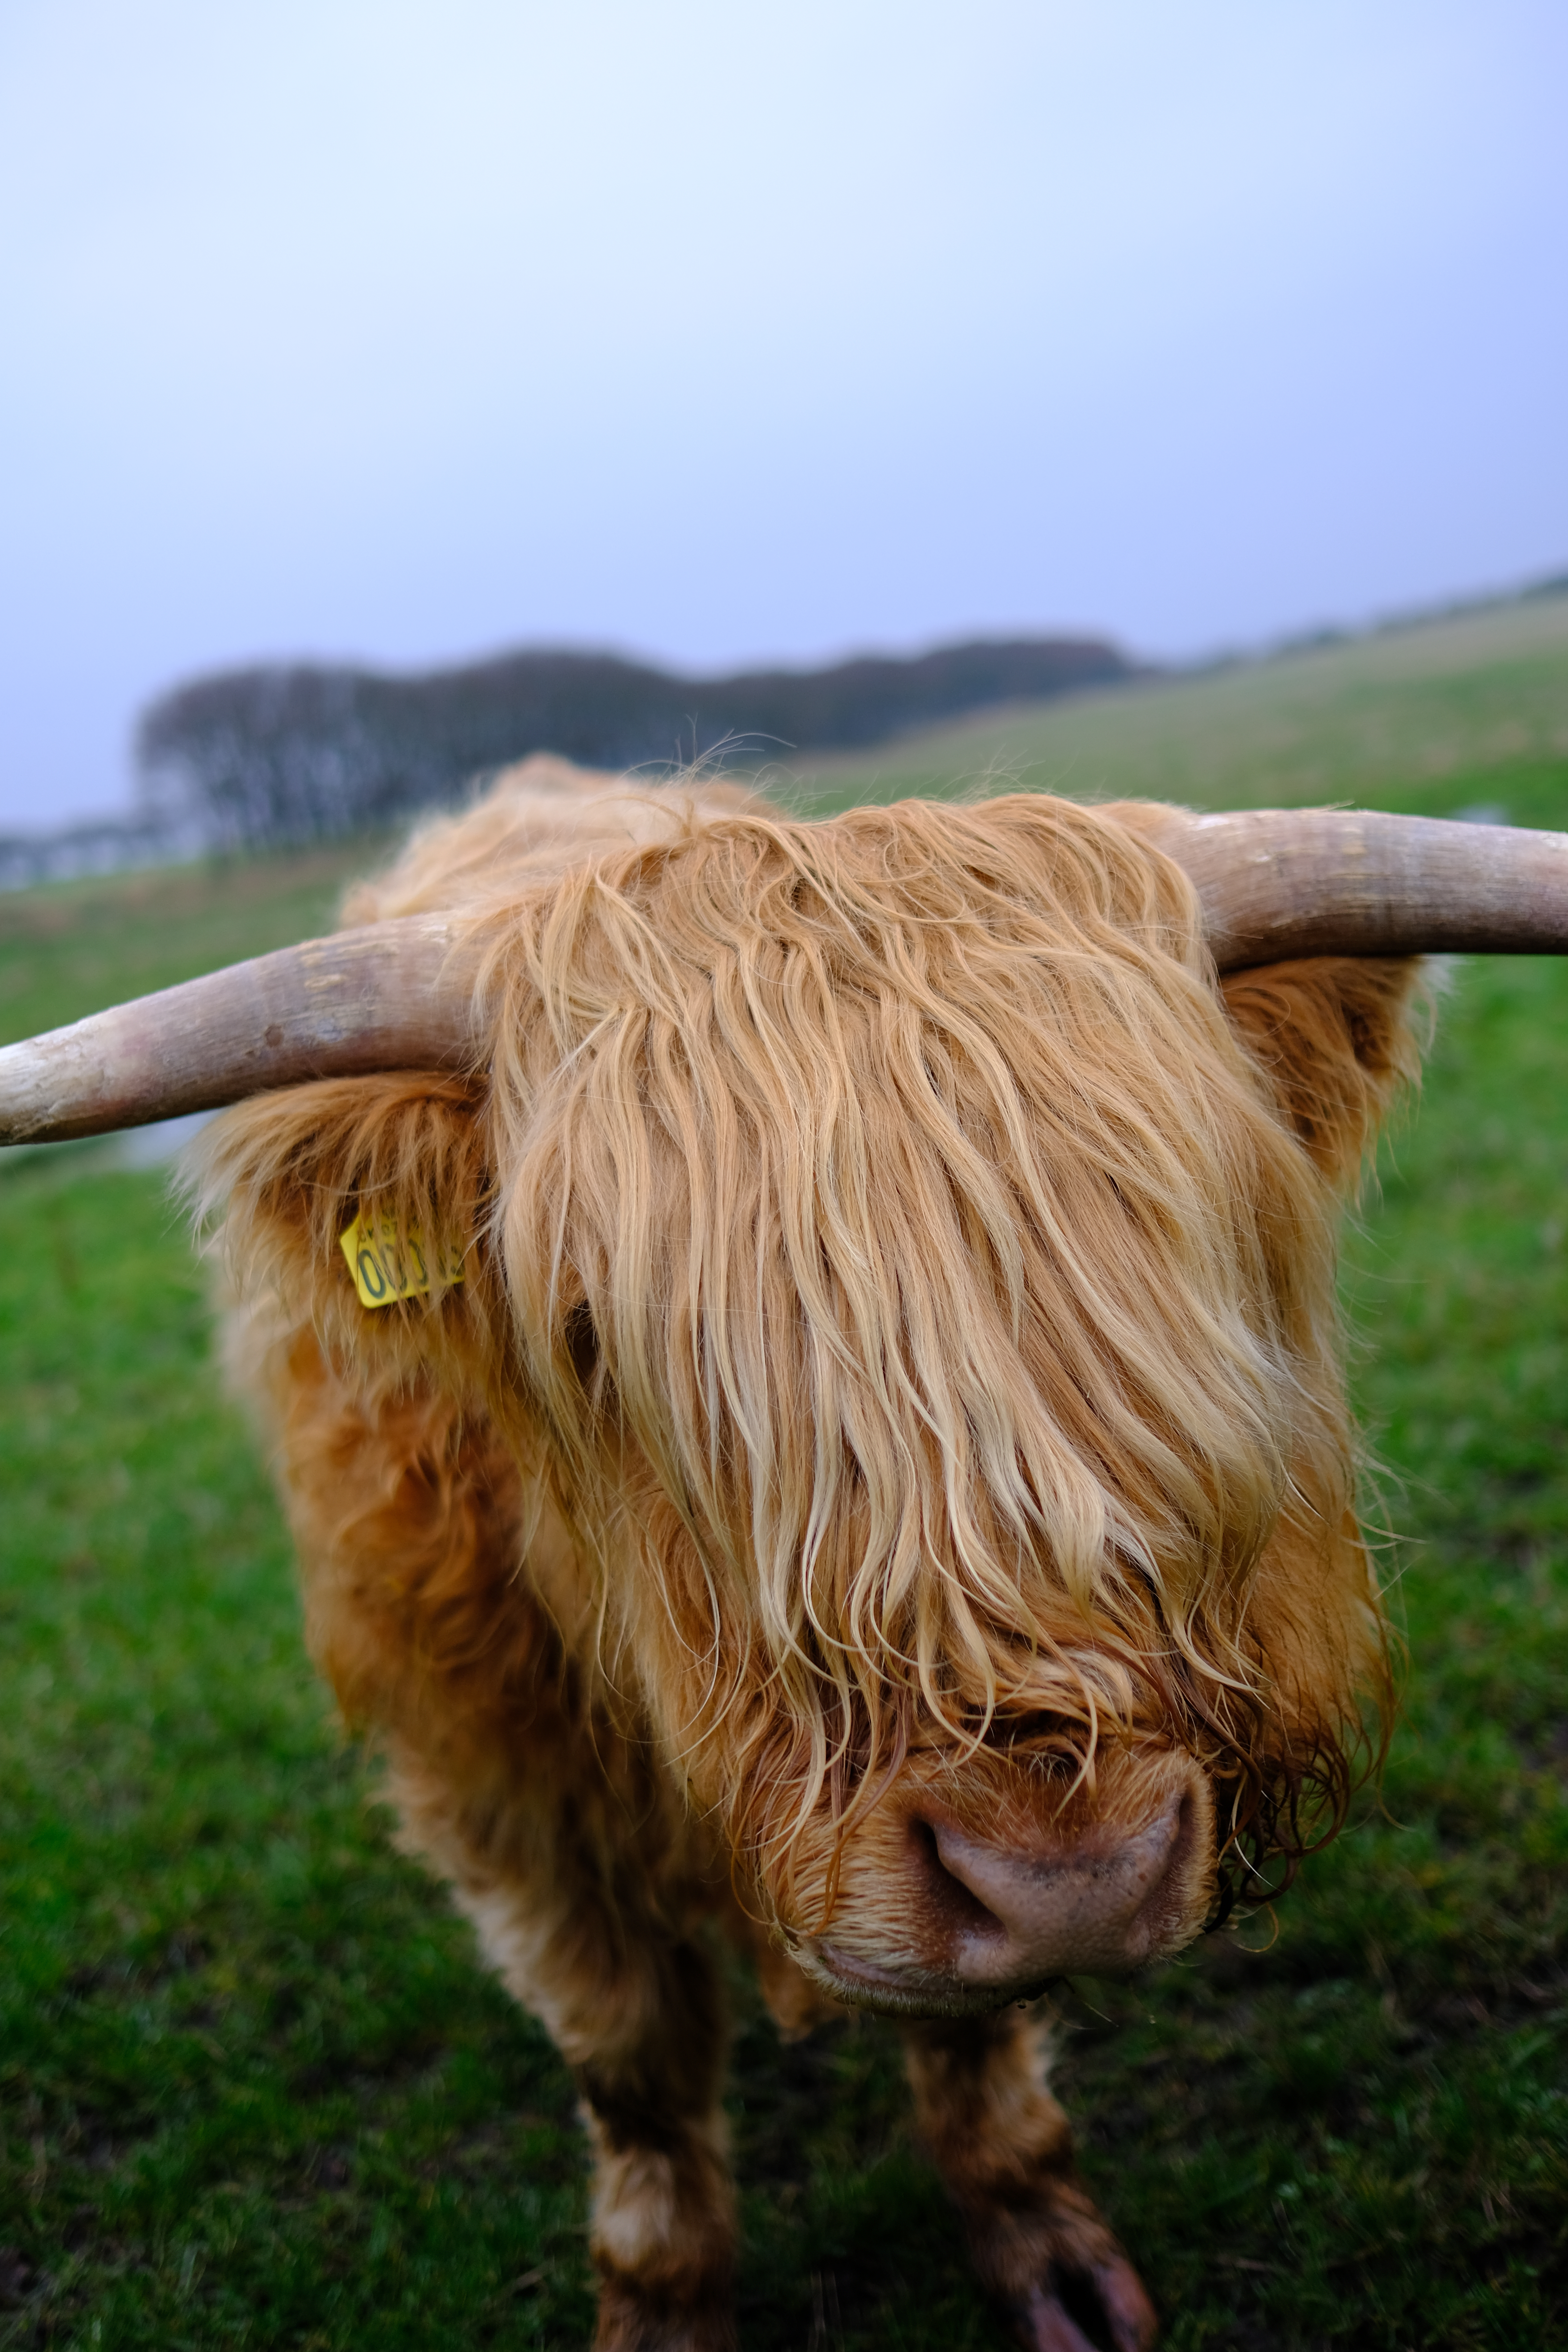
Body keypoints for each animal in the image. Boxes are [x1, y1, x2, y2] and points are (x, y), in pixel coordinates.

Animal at [4, 759, 1566, 2352]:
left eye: (1216, 1239)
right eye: (584, 1324)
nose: (1065, 1872)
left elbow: (967, 2024)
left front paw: (1037, 2231)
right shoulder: (496, 1790)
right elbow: (632, 2066)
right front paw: (661, 2302)